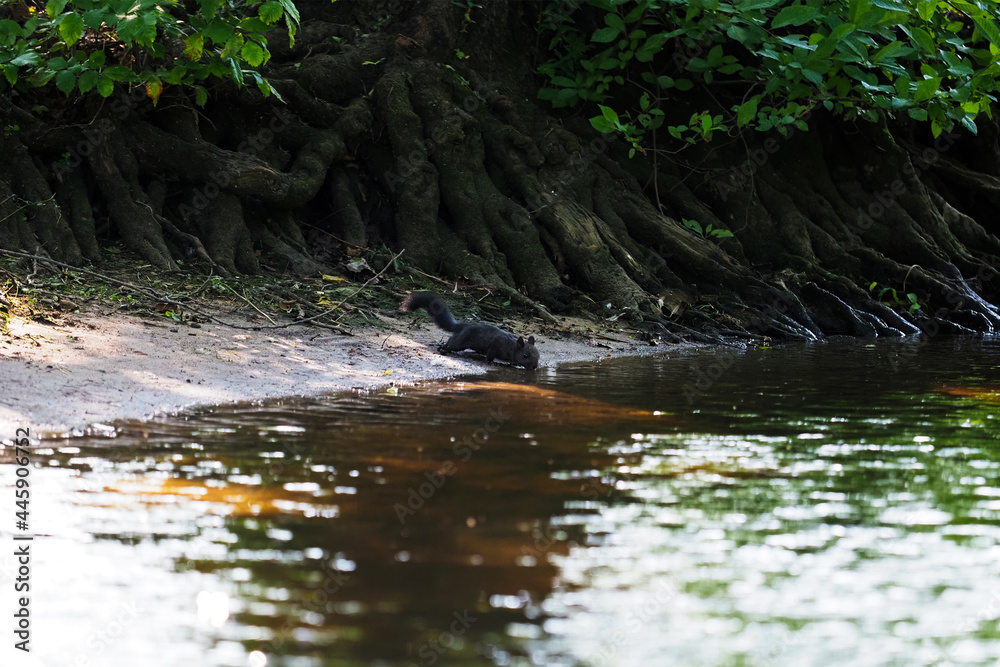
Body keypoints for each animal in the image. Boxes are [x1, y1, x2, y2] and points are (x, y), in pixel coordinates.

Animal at [402, 292, 540, 369]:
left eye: (538, 355)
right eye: (525, 355)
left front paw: (515, 364)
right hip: (460, 341)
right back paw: (444, 349)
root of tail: (462, 326)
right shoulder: (497, 344)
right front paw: (491, 362)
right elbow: (490, 354)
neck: (512, 346)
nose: (534, 367)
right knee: (451, 342)